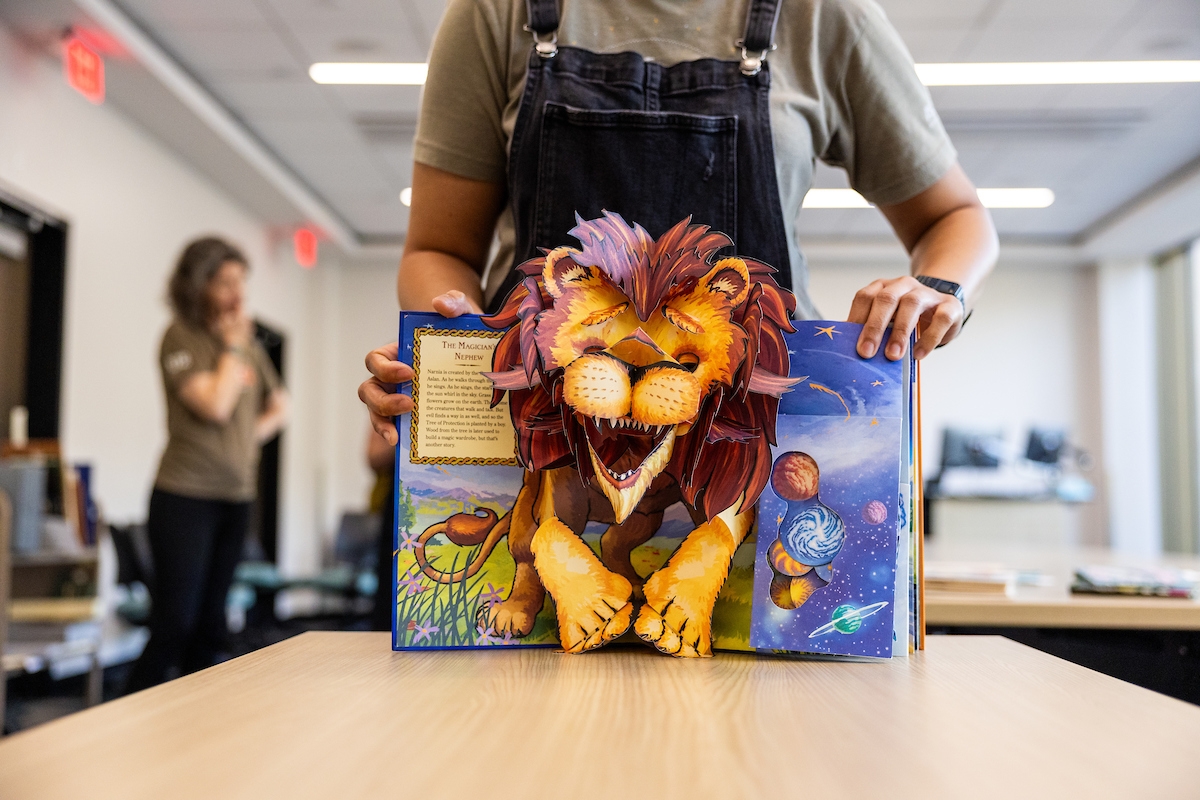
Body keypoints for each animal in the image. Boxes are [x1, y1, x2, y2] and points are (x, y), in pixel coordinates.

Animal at [412, 212, 796, 657]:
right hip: (529, 504)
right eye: (592, 348)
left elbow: (716, 531)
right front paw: (594, 616)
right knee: (526, 552)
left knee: (613, 540)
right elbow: (551, 535)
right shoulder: (557, 489)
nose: (635, 364)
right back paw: (513, 613)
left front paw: (676, 621)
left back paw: (636, 588)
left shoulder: (727, 481)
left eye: (688, 362)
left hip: (645, 519)